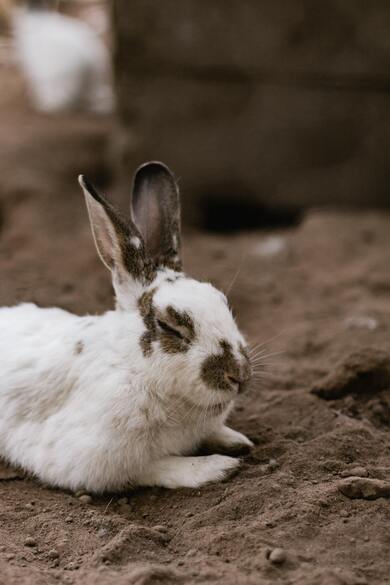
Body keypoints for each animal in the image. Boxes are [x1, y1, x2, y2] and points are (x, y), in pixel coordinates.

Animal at [0, 161, 253, 492]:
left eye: (223, 301)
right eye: (169, 327)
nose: (239, 376)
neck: (133, 367)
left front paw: (238, 441)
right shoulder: (93, 460)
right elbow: (154, 467)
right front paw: (217, 467)